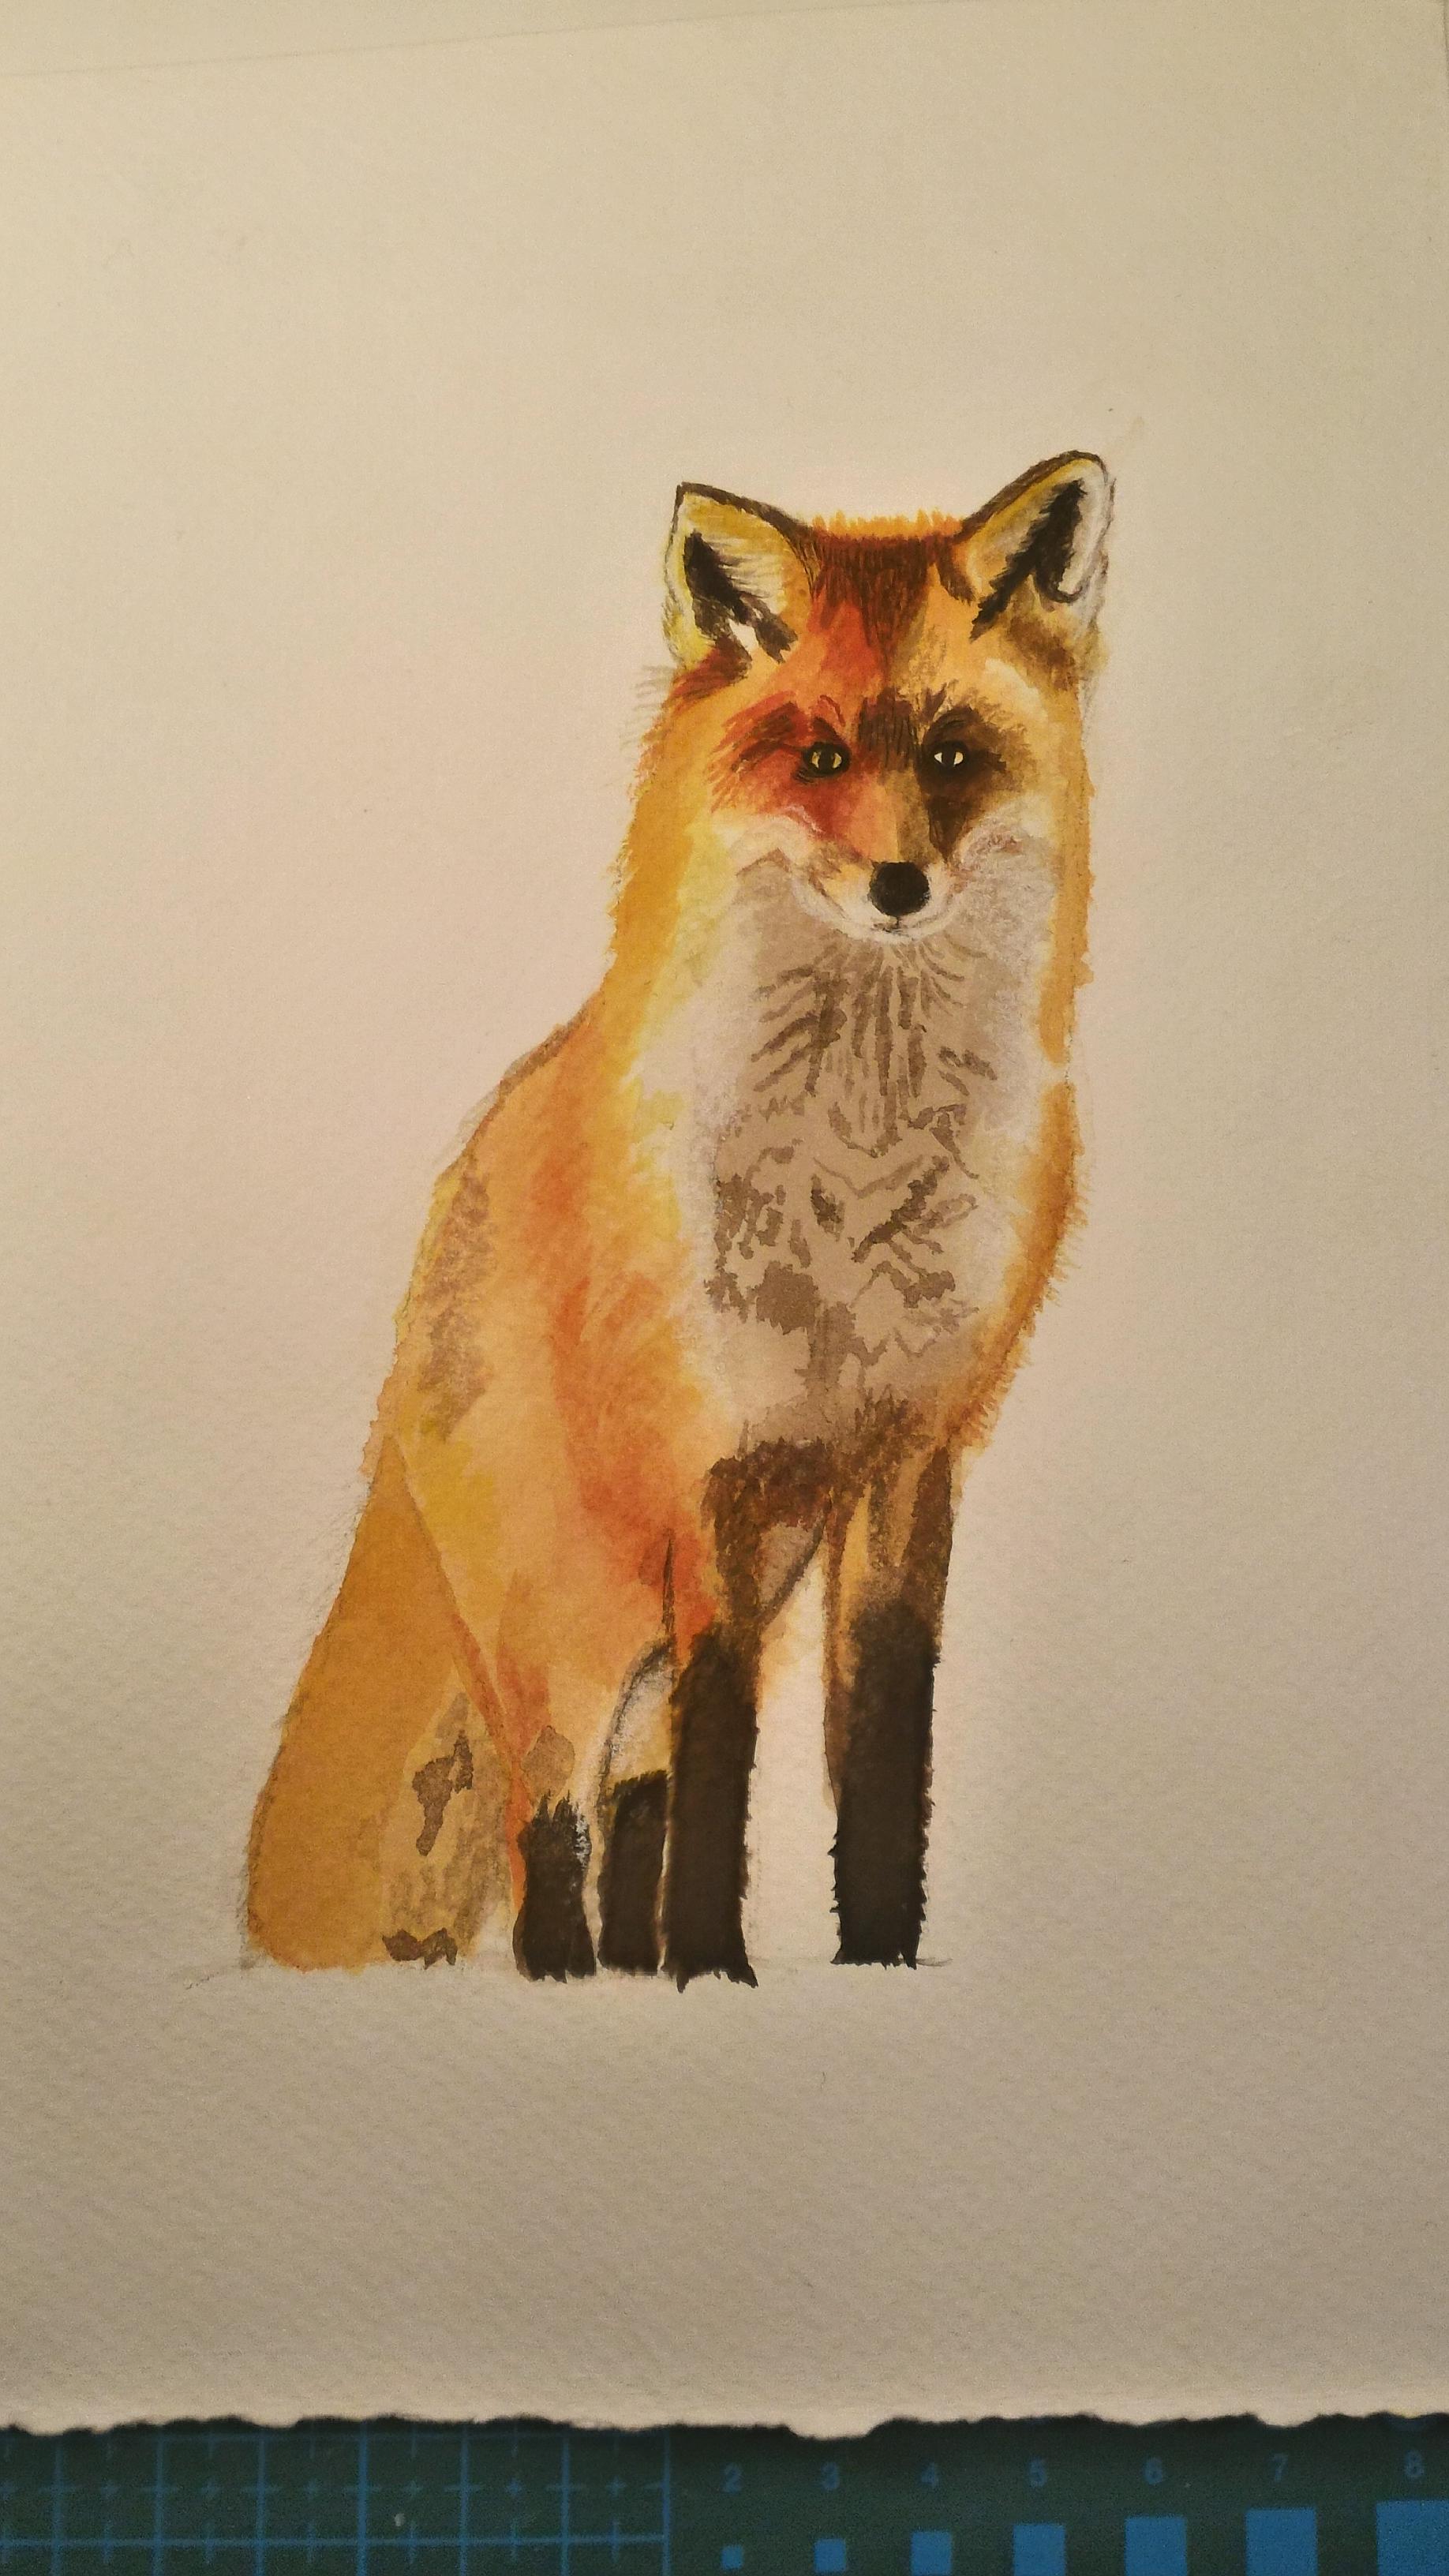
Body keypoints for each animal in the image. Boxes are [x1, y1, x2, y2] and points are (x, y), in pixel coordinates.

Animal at [247, 450, 1112, 1985]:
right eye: (817, 758)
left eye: (952, 756)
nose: (900, 885)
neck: (855, 1169)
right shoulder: (716, 1464)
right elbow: (724, 1744)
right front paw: (720, 1966)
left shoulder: (912, 1453)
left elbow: (881, 1748)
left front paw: (868, 1965)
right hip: (569, 1634)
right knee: (551, 1816)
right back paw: (569, 1976)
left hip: (685, 1612)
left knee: (631, 1797)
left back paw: (636, 1975)